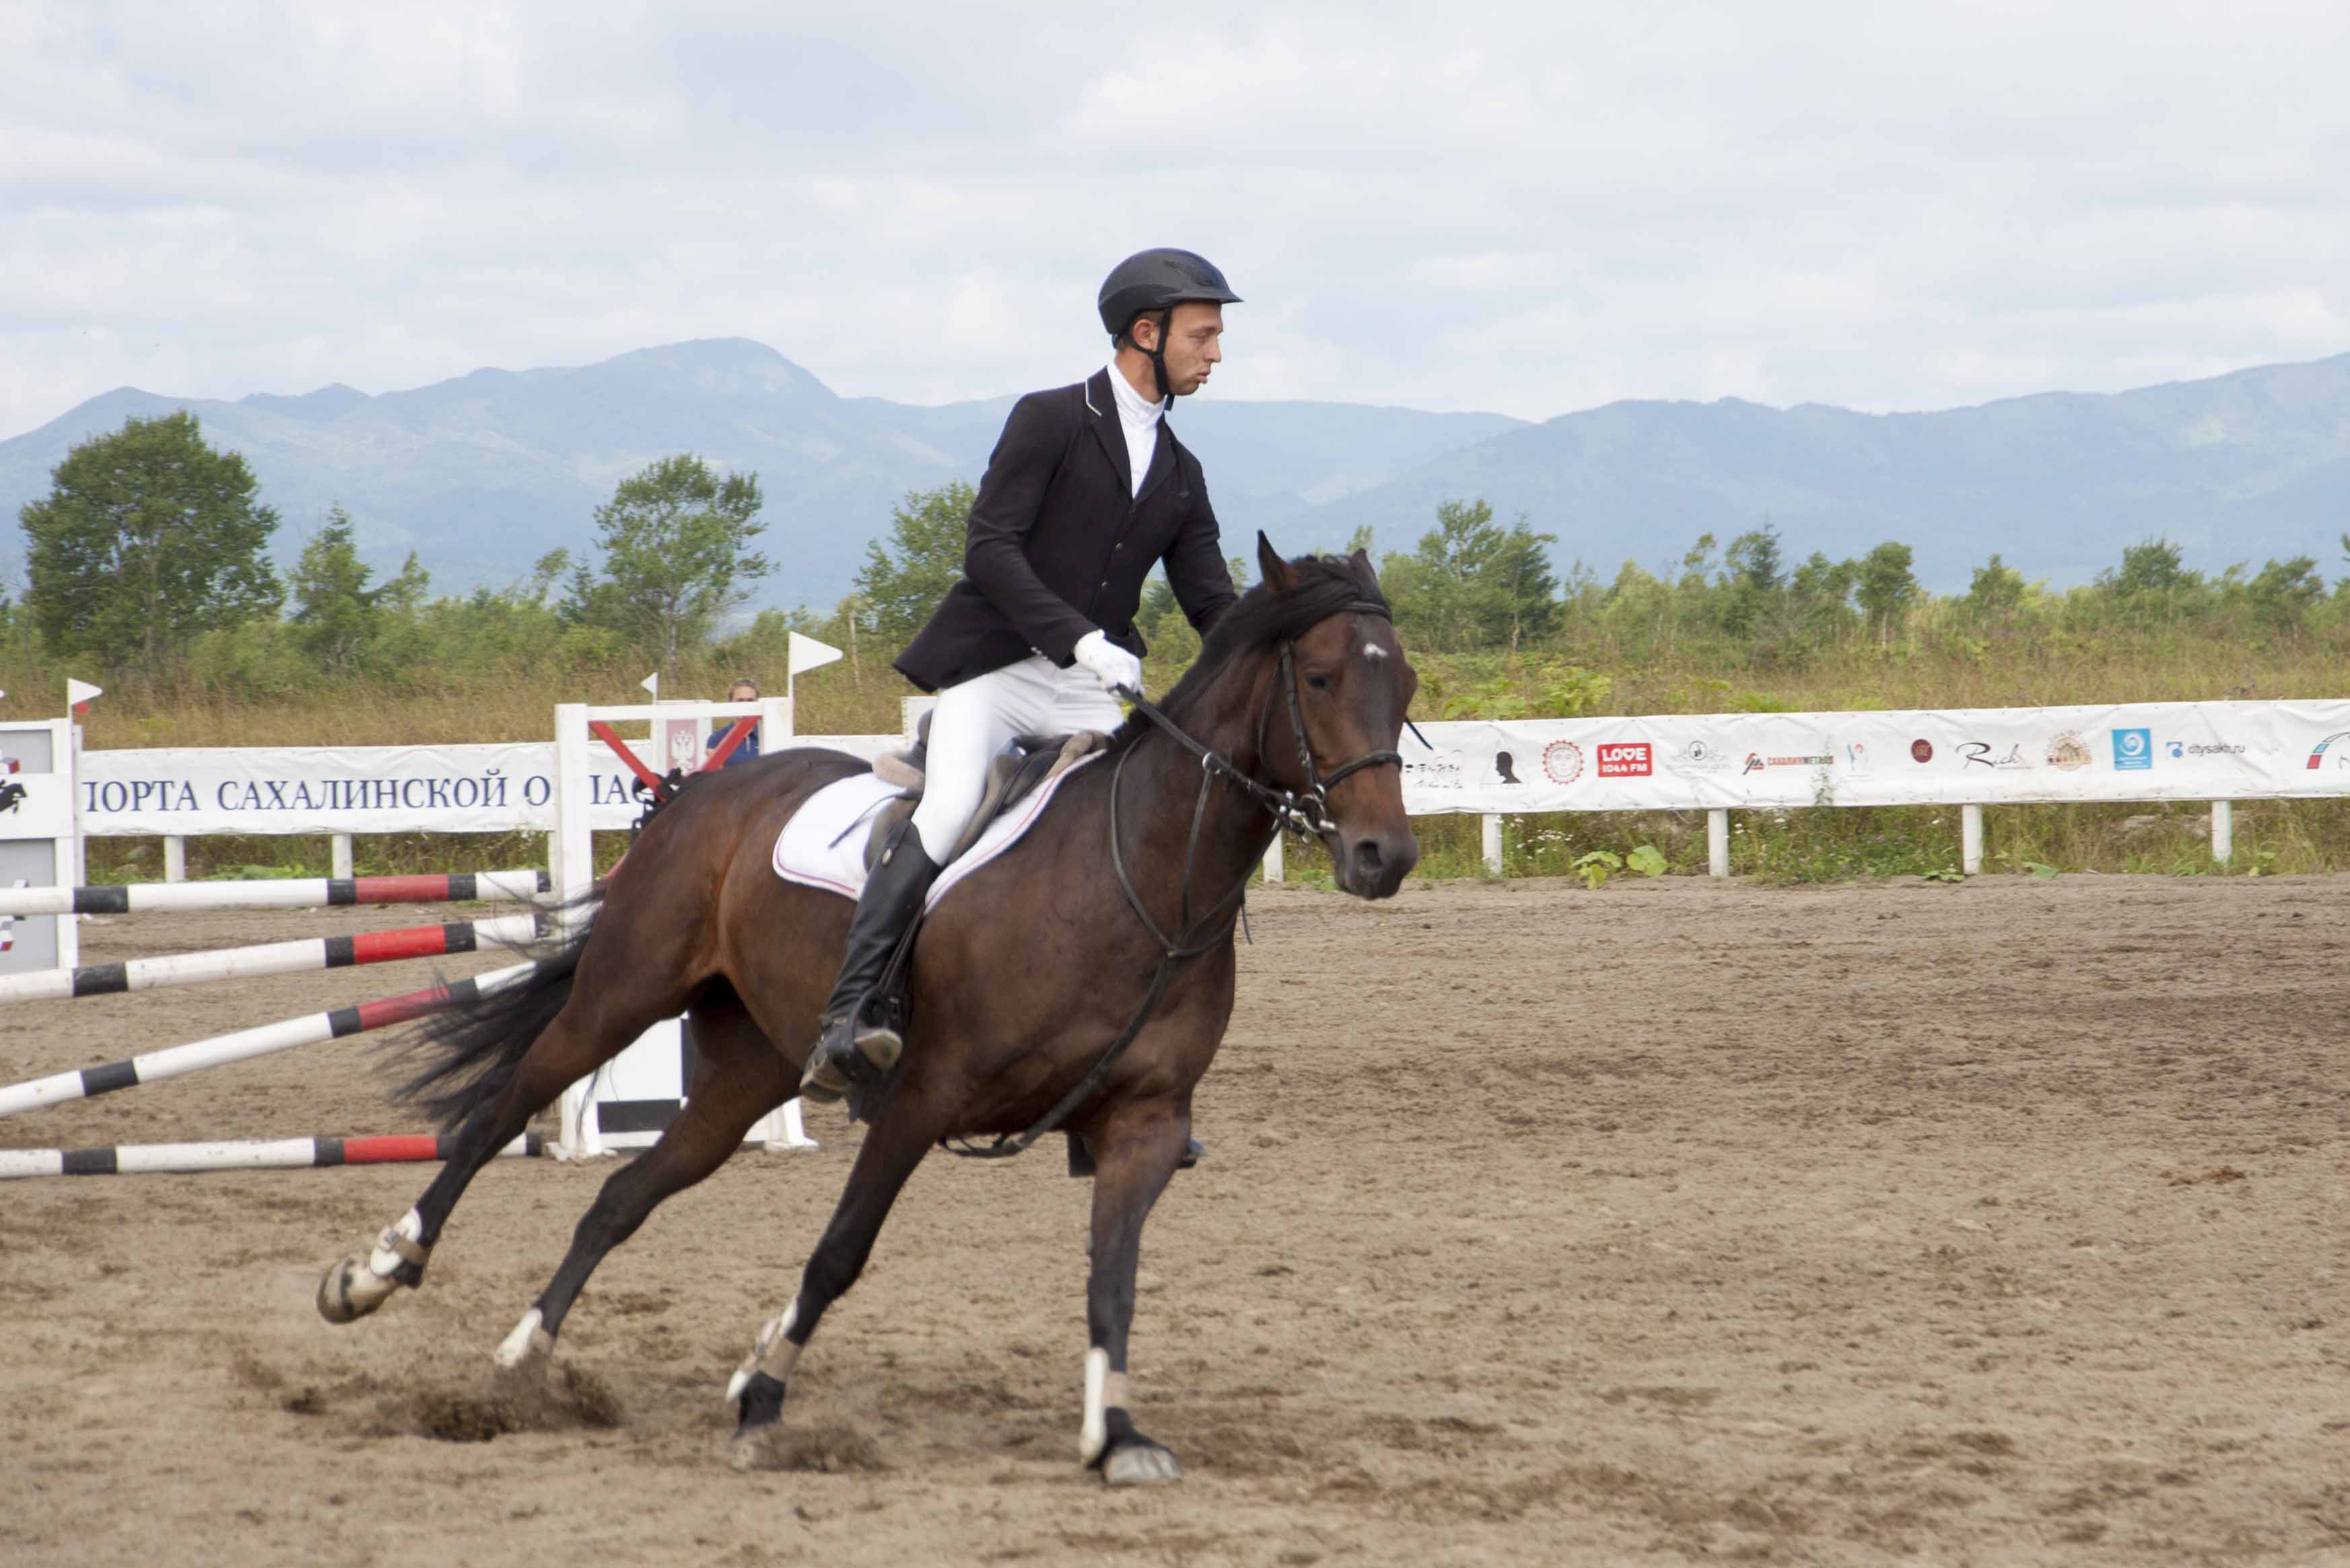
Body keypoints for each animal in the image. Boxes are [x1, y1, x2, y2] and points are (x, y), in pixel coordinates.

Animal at [312, 540, 1410, 1485]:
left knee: (622, 1196)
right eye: (1319, 680)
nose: (1382, 858)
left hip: (745, 1072)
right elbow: (841, 1251)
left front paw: (1120, 1435)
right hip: (624, 994)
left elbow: (1114, 1275)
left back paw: (522, 1358)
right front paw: (760, 1395)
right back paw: (375, 1272)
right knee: (502, 1110)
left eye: (1400, 687)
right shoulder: (920, 1098)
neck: (1141, 880)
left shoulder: (1144, 1121)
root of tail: (698, 791)